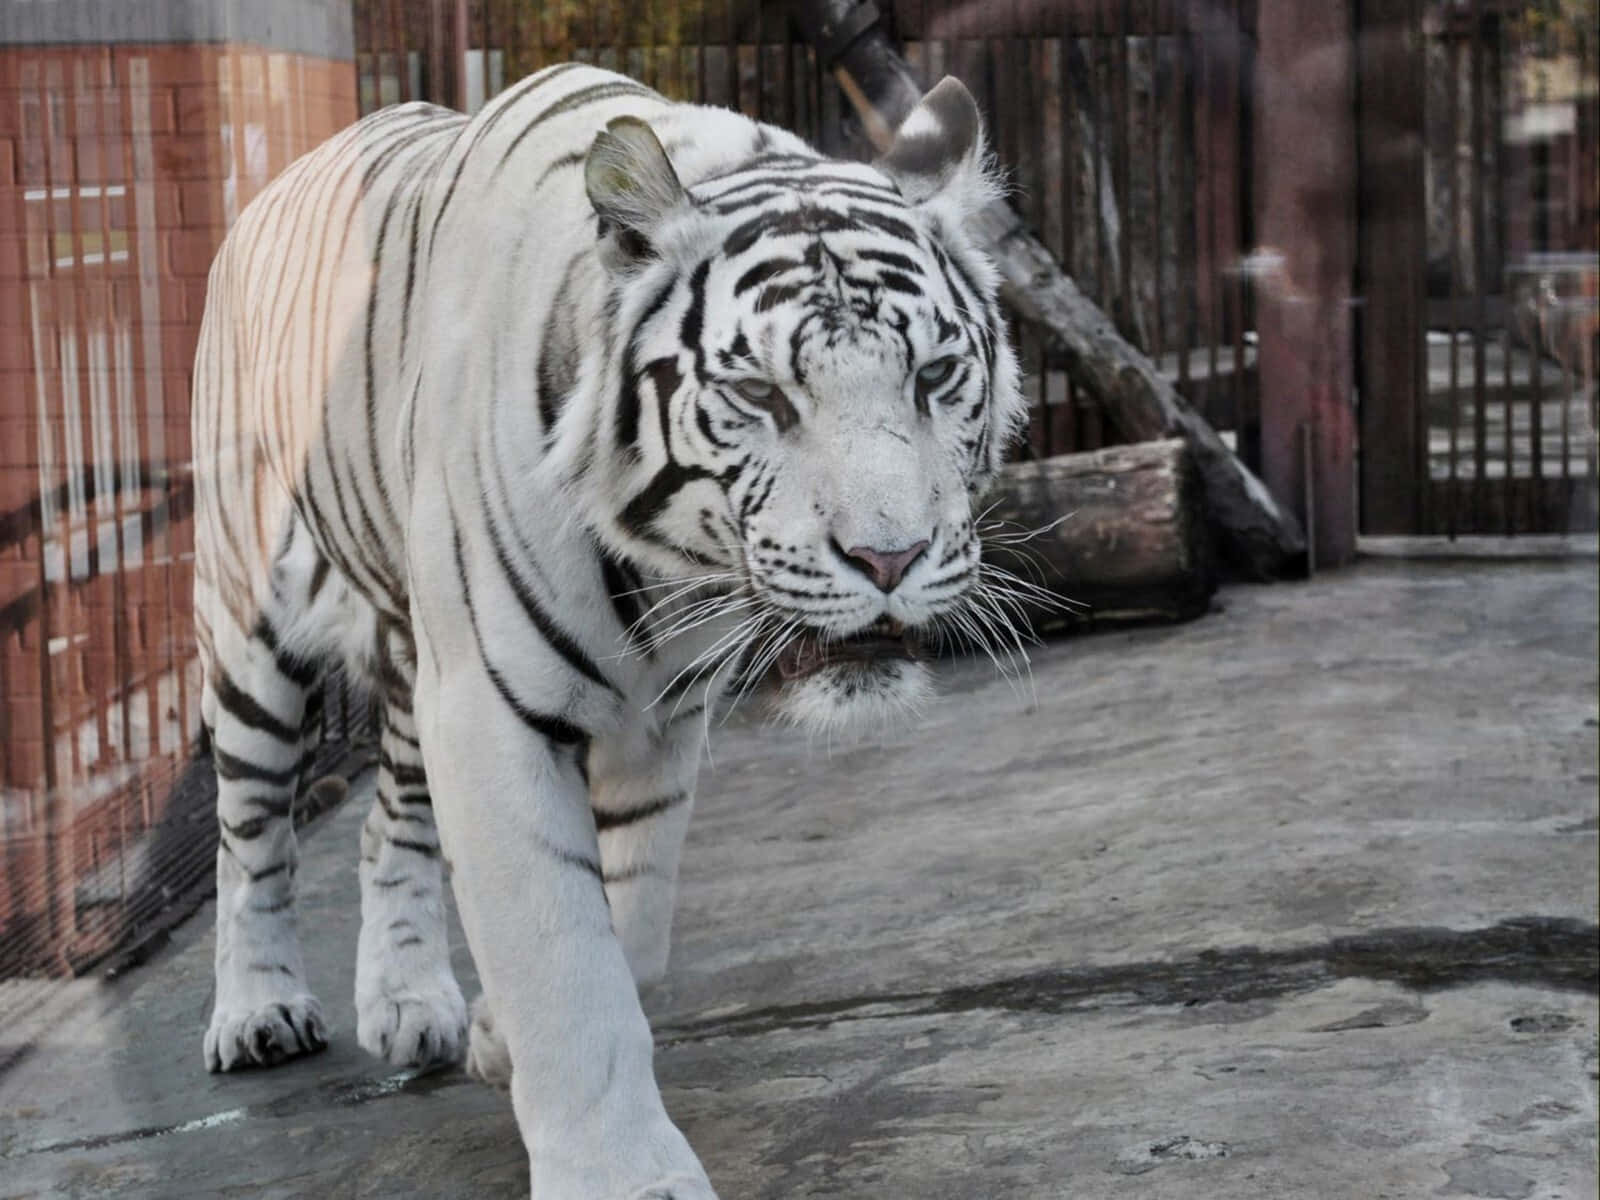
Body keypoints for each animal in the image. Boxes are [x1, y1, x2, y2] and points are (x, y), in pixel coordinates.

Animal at [191, 62, 1022, 1198]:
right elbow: (564, 961)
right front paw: (619, 1170)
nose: (888, 558)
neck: (662, 572)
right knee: (249, 836)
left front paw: (499, 1036)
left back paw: (409, 1002)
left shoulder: (655, 724)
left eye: (933, 377)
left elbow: (628, 925)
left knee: (379, 822)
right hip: (249, 629)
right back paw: (259, 1009)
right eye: (758, 393)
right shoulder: (487, 715)